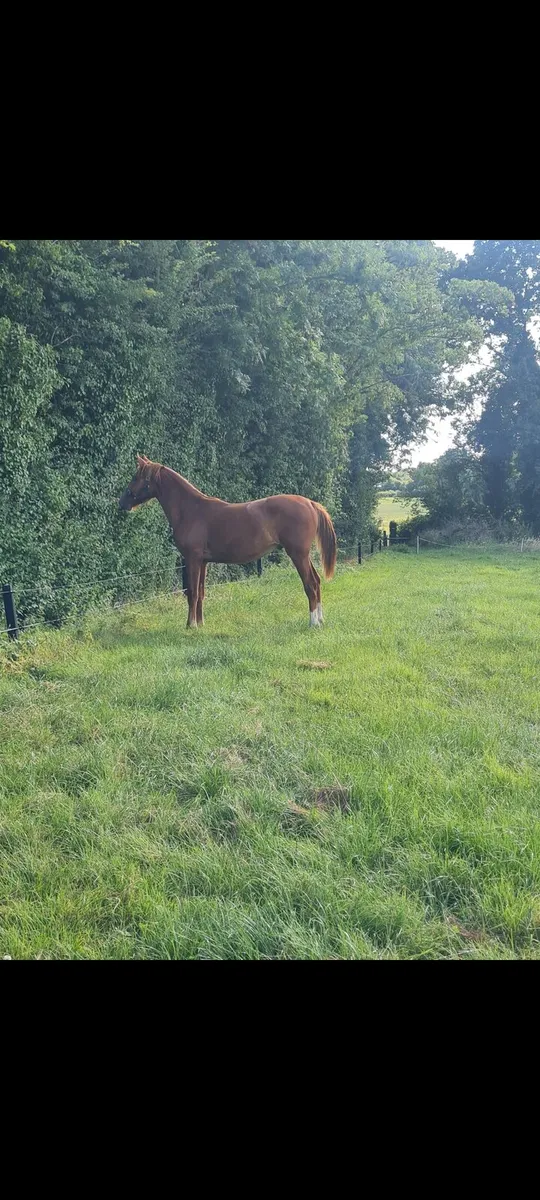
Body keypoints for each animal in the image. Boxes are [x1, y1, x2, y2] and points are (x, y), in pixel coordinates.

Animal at [119, 455, 337, 628]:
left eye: (135, 477)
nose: (122, 503)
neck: (191, 510)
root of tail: (310, 503)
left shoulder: (192, 559)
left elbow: (192, 592)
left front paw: (190, 625)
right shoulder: (203, 562)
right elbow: (201, 592)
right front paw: (201, 624)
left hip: (298, 555)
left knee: (310, 584)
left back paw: (313, 623)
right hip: (303, 555)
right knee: (317, 581)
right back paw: (321, 619)